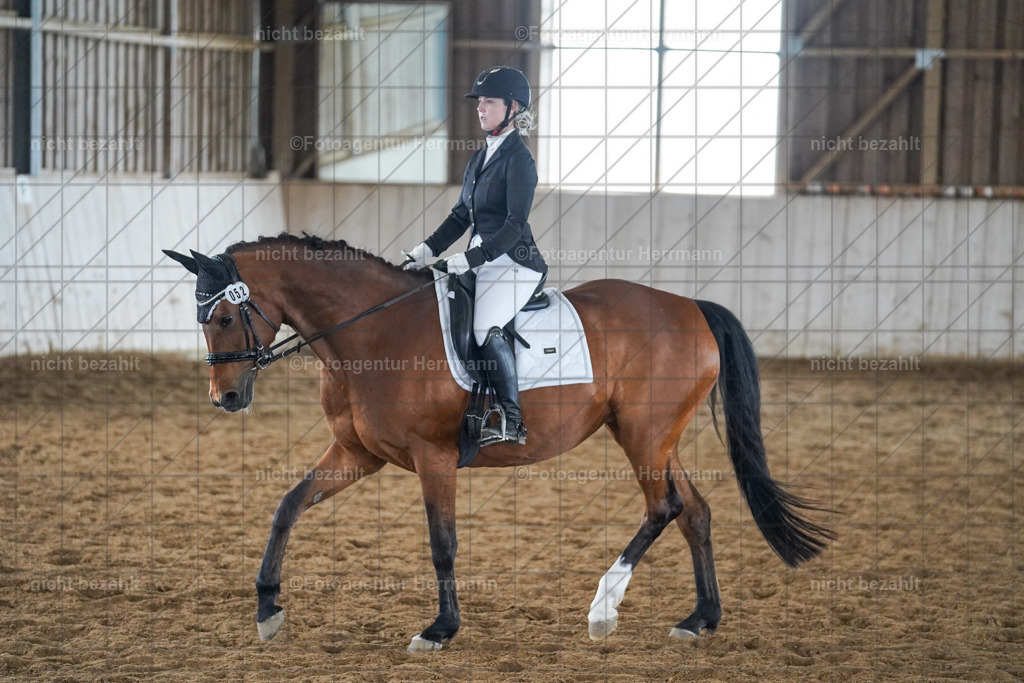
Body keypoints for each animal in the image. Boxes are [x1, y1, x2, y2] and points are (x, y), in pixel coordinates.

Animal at [164, 232, 832, 652]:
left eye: (224, 317)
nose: (225, 398)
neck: (371, 333)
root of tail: (689, 306)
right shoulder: (359, 456)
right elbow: (287, 507)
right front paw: (267, 610)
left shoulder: (433, 458)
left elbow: (443, 545)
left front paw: (439, 630)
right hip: (652, 436)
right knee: (695, 510)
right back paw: (700, 619)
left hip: (644, 435)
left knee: (664, 506)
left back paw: (603, 609)